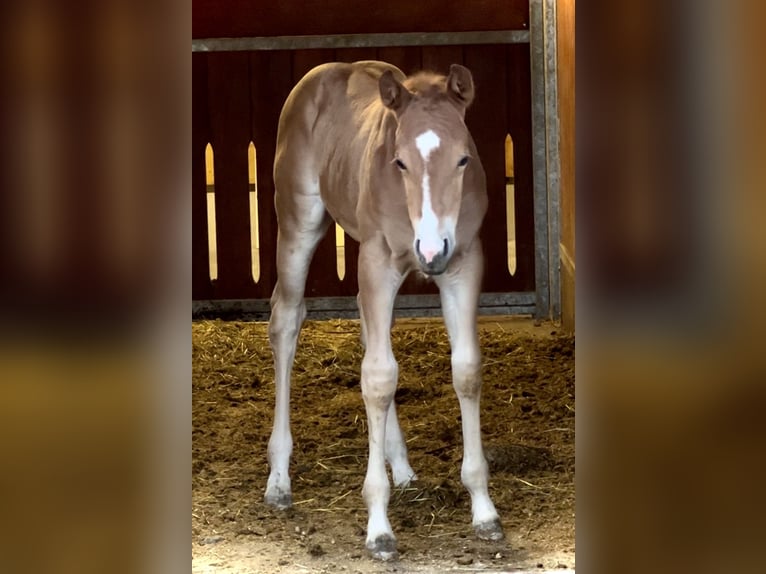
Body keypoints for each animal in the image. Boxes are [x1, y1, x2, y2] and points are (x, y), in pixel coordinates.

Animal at [264, 60, 504, 560]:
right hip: (297, 221)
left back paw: (404, 467)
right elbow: (376, 378)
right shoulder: (376, 261)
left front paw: (484, 509)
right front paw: (378, 527)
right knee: (286, 319)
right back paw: (278, 480)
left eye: (463, 159)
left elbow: (465, 370)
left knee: (368, 331)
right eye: (400, 161)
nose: (430, 251)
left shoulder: (463, 263)